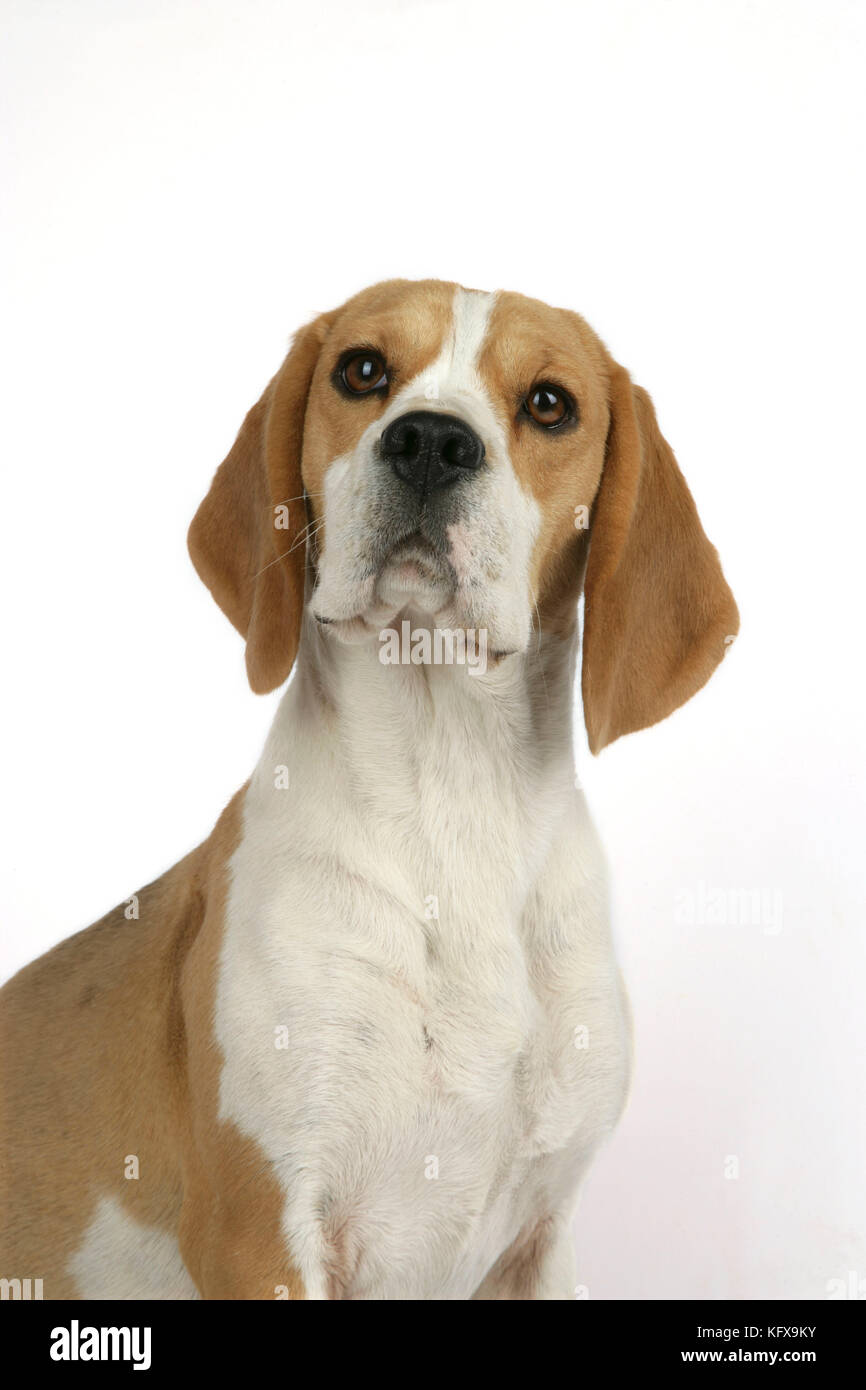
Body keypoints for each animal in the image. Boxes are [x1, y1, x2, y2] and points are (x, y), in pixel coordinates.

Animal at [0, 276, 739, 1295]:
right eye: (361, 369)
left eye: (552, 403)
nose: (429, 440)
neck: (454, 801)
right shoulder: (263, 1232)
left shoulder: (540, 1237)